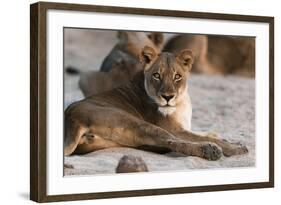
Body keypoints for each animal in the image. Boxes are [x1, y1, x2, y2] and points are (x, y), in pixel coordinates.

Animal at [64, 45, 247, 161]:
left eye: (177, 76)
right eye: (157, 75)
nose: (167, 97)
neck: (181, 102)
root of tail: (71, 117)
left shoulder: (184, 127)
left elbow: (208, 133)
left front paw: (225, 138)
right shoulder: (174, 129)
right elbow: (203, 137)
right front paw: (234, 147)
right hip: (135, 122)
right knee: (172, 141)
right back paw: (210, 150)